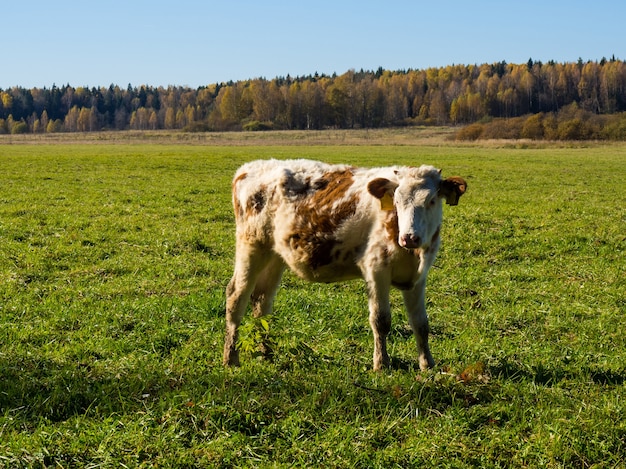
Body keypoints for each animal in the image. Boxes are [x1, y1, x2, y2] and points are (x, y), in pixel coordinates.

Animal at [222, 159, 466, 372]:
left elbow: (421, 323)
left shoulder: (418, 277)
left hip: (274, 256)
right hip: (251, 246)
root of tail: (249, 167)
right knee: (236, 297)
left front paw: (427, 364)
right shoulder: (376, 270)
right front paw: (381, 364)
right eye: (397, 202)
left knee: (262, 302)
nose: (409, 237)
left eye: (431, 201)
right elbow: (381, 320)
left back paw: (266, 352)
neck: (412, 253)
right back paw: (231, 357)